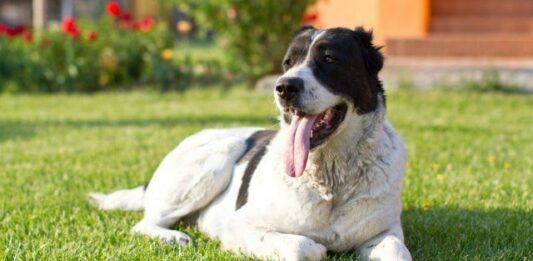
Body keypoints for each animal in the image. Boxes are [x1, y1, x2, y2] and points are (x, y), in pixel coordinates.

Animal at [88, 26, 412, 260]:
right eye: (287, 63)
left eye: (329, 59)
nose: (284, 86)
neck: (332, 179)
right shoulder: (239, 225)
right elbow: (304, 247)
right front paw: (318, 247)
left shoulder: (386, 231)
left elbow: (397, 251)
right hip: (217, 158)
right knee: (145, 222)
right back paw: (173, 236)